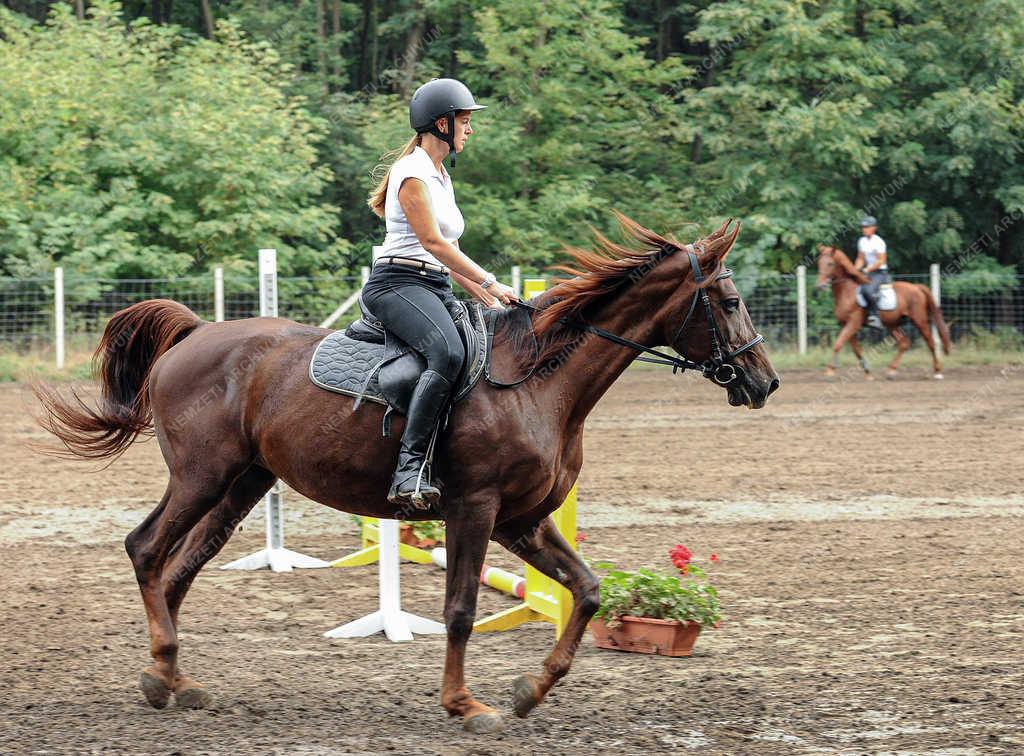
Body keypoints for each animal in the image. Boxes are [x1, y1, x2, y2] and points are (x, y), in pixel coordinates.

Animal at [36, 215, 778, 733]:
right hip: (202, 476)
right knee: (147, 550)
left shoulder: (521, 520)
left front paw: (529, 691)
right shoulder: (475, 509)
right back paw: (162, 668)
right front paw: (465, 704)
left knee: (179, 570)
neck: (540, 383)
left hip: (243, 484)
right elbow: (460, 611)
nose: (764, 382)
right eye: (729, 300)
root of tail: (194, 334)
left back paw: (171, 680)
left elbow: (588, 590)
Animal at [815, 244, 950, 376]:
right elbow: (856, 349)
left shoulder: (853, 323)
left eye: (830, 263)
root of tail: (916, 287)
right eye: (819, 263)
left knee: (930, 342)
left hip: (919, 320)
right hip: (893, 323)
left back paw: (937, 371)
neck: (847, 291)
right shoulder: (846, 324)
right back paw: (891, 370)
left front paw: (830, 370)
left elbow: (838, 344)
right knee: (904, 343)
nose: (820, 286)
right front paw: (868, 372)